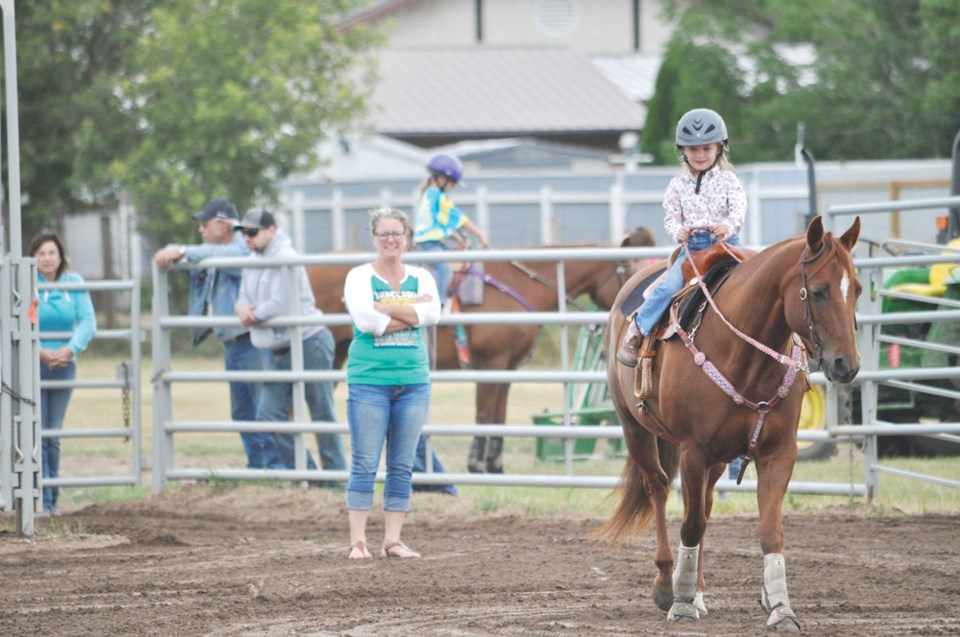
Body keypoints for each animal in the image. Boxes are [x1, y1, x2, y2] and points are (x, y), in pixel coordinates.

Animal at [308, 227, 652, 472]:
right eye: (629, 270)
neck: (519, 285)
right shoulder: (490, 363)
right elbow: (484, 413)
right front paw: (476, 464)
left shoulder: (507, 367)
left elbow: (498, 415)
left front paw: (494, 465)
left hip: (337, 354)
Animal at [600, 216, 864, 628]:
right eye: (819, 292)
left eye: (859, 290)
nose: (846, 365)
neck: (744, 353)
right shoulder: (693, 452)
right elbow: (690, 524)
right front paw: (679, 601)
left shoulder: (778, 452)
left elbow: (769, 530)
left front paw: (781, 607)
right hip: (636, 429)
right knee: (658, 488)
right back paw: (666, 583)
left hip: (719, 458)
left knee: (704, 504)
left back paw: (697, 590)